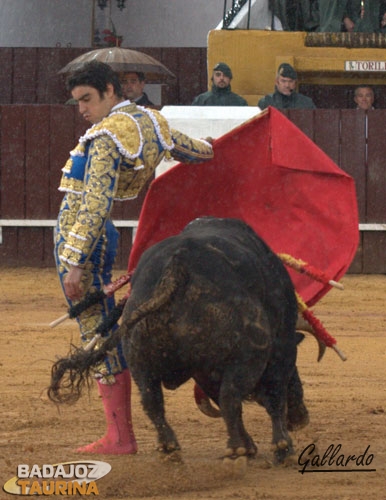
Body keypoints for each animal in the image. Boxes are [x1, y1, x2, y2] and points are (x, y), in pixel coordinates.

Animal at [48, 218, 310, 464]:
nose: (301, 418)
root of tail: (177, 266)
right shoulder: (281, 348)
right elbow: (271, 397)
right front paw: (282, 449)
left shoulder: (205, 370)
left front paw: (252, 446)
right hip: (248, 354)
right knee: (232, 397)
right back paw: (238, 449)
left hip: (139, 355)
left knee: (153, 401)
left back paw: (171, 448)